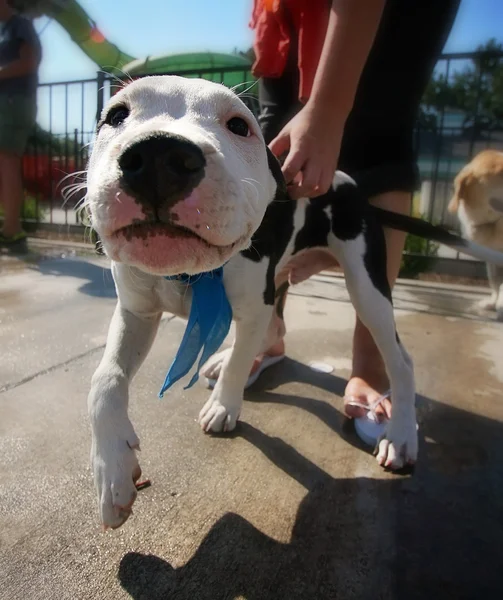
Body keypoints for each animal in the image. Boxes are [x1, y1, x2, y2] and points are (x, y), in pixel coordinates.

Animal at [85, 76, 503, 528]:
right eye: (116, 115)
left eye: (239, 125)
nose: (159, 155)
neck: (191, 272)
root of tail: (352, 187)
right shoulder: (135, 313)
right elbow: (104, 380)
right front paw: (113, 471)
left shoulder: (254, 306)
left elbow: (239, 363)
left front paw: (223, 406)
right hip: (282, 281)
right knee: (276, 329)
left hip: (367, 290)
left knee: (400, 361)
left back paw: (402, 436)